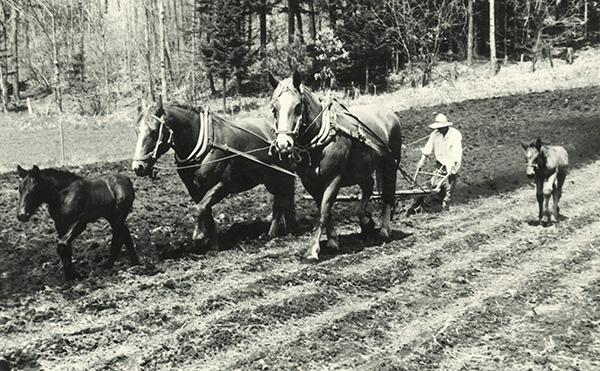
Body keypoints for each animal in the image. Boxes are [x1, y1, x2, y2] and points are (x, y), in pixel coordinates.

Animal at [134, 97, 298, 251]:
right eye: (137, 130)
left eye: (154, 131)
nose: (138, 167)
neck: (205, 146)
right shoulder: (195, 191)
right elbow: (206, 214)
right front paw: (214, 248)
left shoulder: (223, 186)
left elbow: (199, 209)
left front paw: (199, 236)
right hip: (270, 180)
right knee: (281, 201)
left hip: (283, 177)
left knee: (282, 202)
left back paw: (277, 233)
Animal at [268, 71, 404, 264]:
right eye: (274, 108)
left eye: (297, 106)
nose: (283, 144)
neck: (319, 141)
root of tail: (389, 113)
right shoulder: (310, 183)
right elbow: (326, 211)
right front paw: (333, 241)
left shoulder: (333, 179)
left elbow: (323, 213)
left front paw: (311, 251)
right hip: (360, 169)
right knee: (368, 185)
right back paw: (365, 221)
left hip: (390, 165)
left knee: (388, 195)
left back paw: (384, 230)